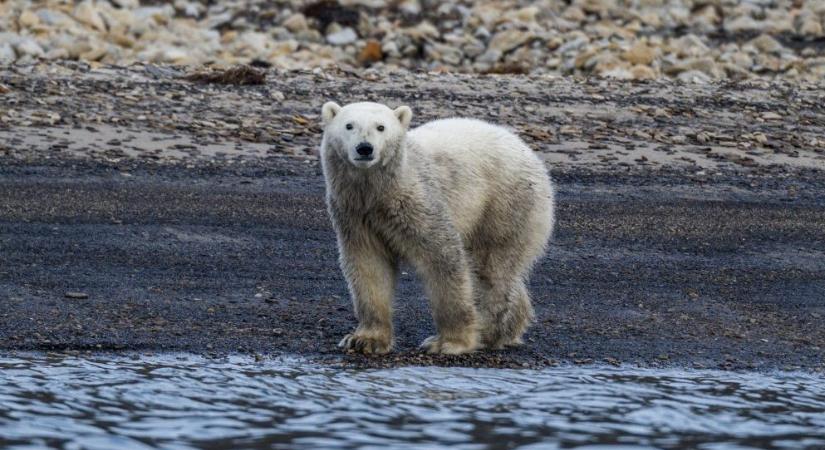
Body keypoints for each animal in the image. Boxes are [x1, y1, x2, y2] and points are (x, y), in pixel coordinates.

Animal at [318, 102, 552, 356]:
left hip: (505, 204)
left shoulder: (417, 202)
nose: (364, 148)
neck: (378, 192)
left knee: (491, 269)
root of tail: (530, 153)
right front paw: (364, 339)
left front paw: (449, 342)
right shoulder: (356, 215)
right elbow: (369, 266)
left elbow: (442, 258)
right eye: (349, 125)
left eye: (381, 127)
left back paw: (488, 331)